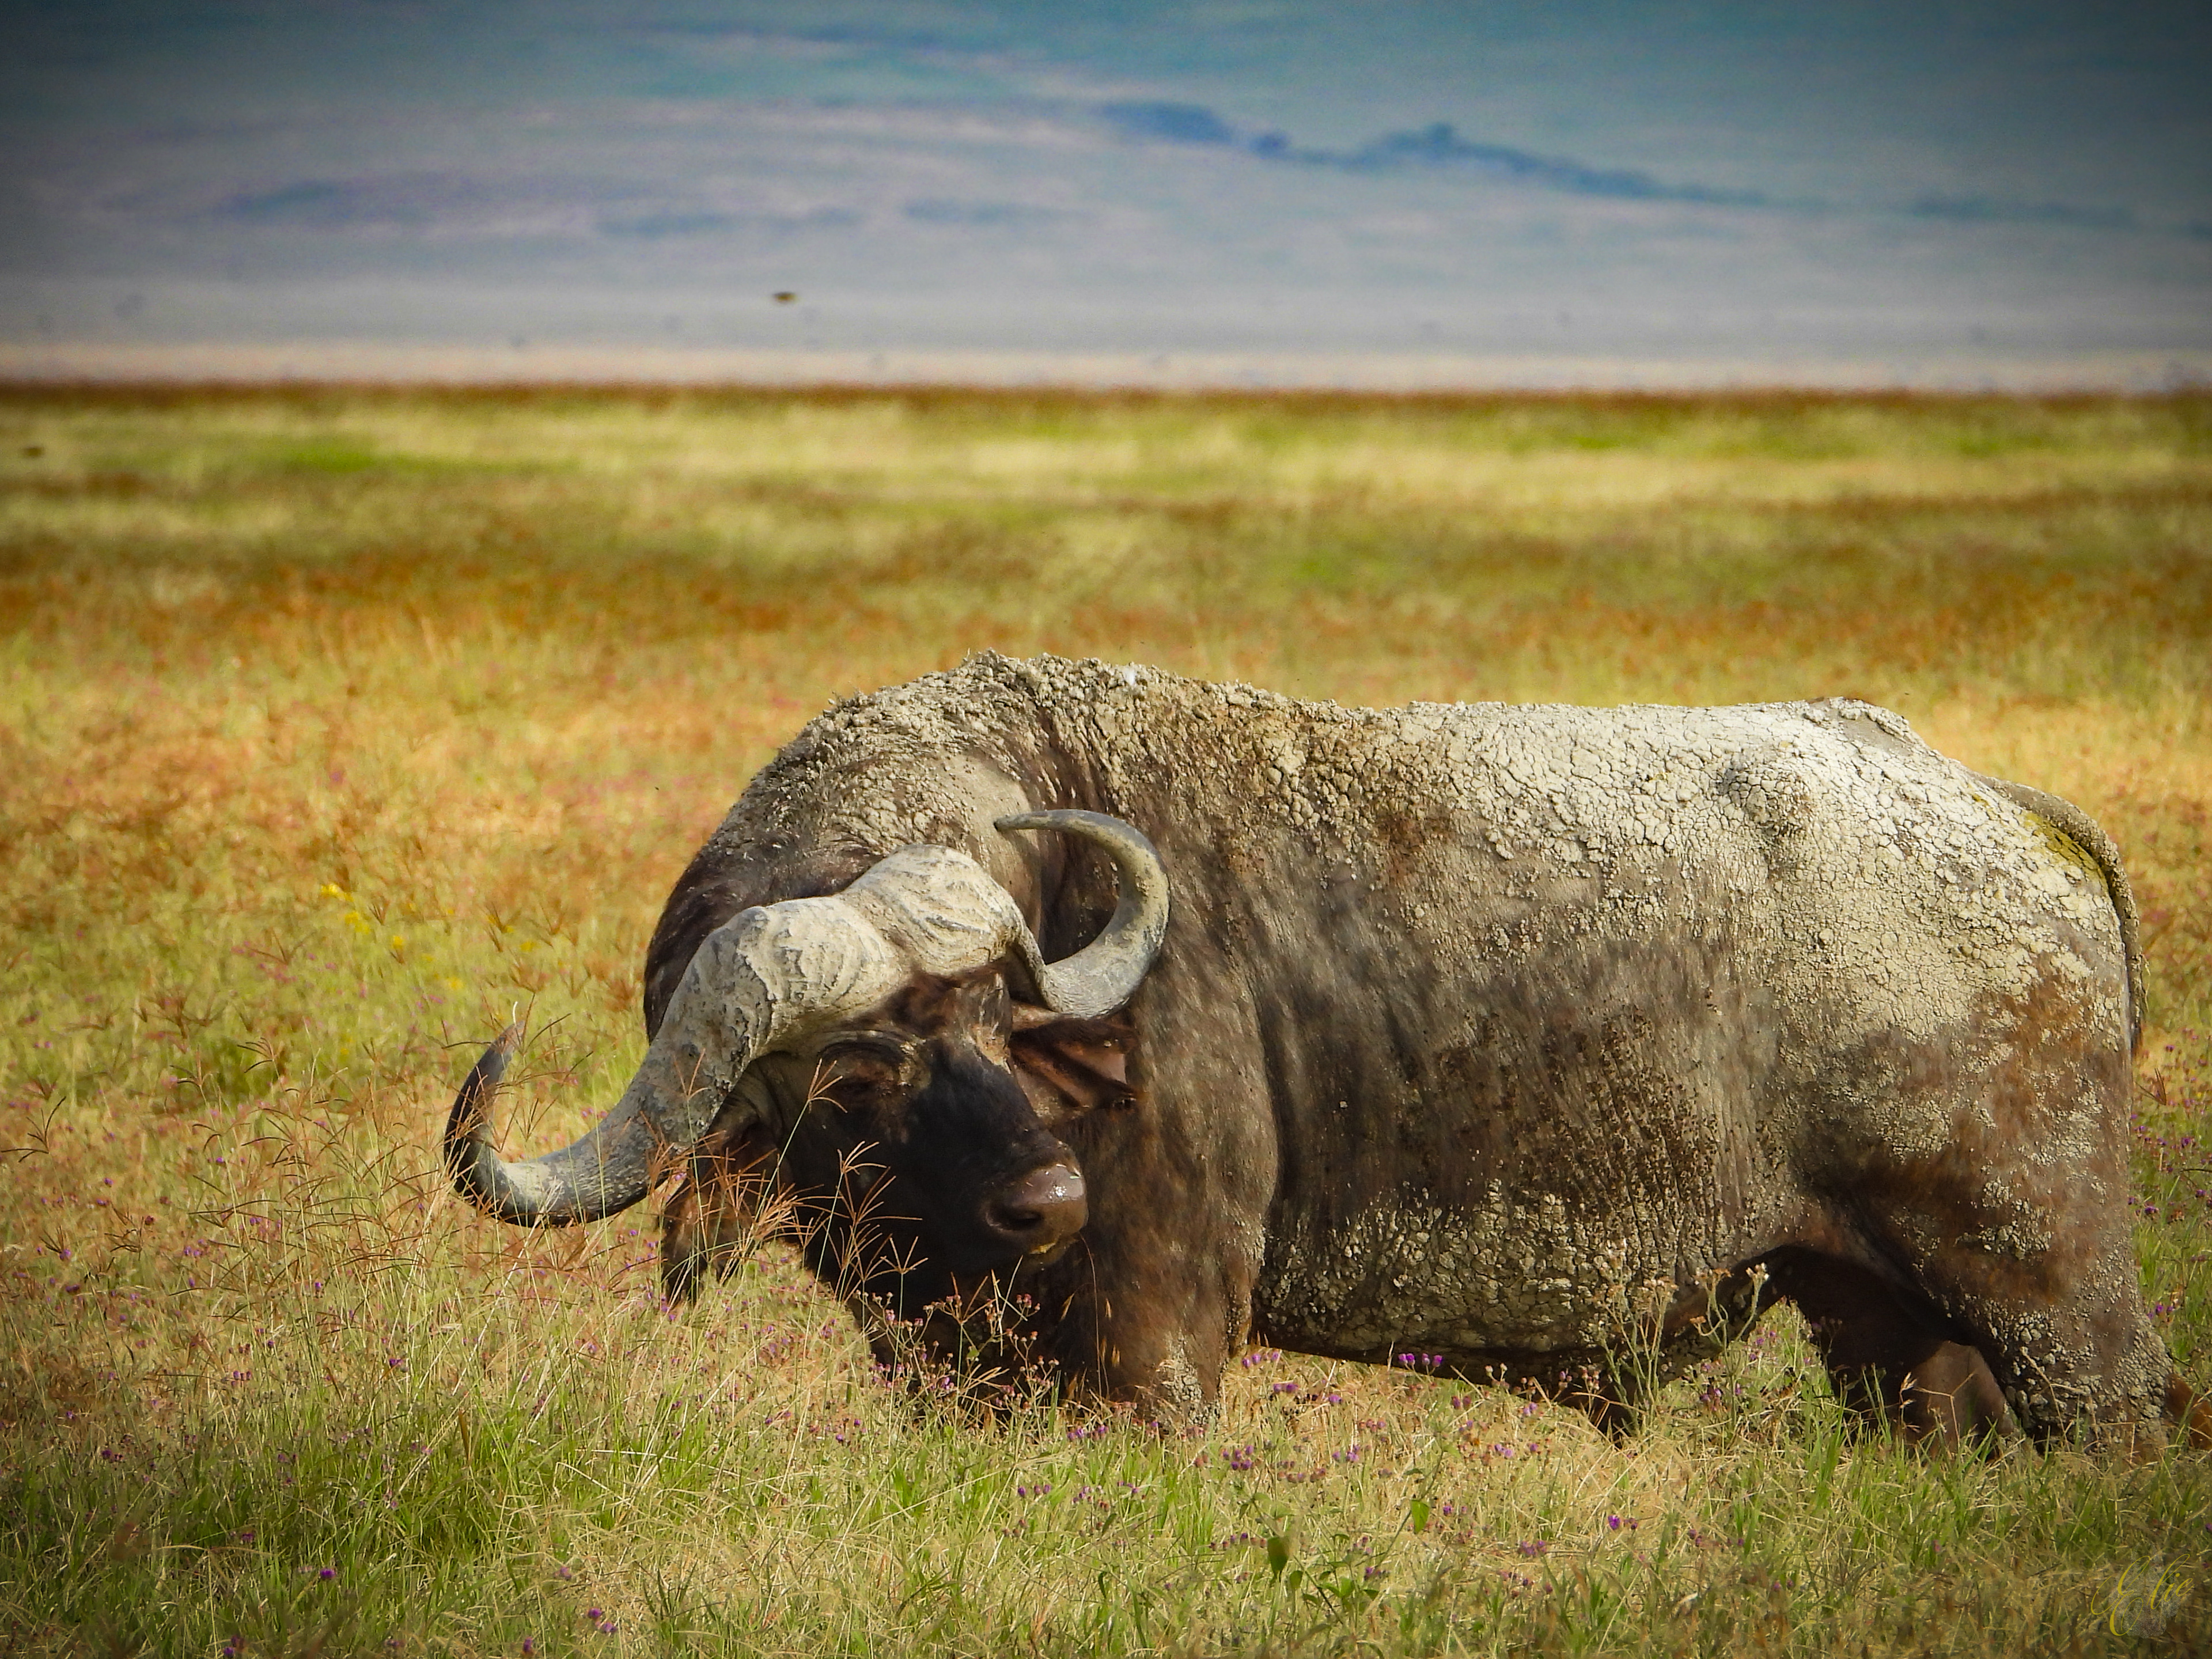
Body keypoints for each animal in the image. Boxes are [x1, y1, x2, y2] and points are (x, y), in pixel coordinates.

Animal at [445, 652, 2209, 1447]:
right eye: (858, 1072)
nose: (1046, 1203)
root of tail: (2003, 813)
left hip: (2050, 1299)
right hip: (1893, 1335)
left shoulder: (1157, 1342)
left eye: (1003, 1027)